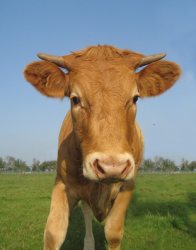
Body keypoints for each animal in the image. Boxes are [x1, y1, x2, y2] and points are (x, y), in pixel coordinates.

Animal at [23, 45, 181, 250]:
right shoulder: (62, 183)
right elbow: (53, 234)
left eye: (135, 98)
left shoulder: (128, 185)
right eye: (75, 99)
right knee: (87, 212)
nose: (112, 167)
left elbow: (113, 232)